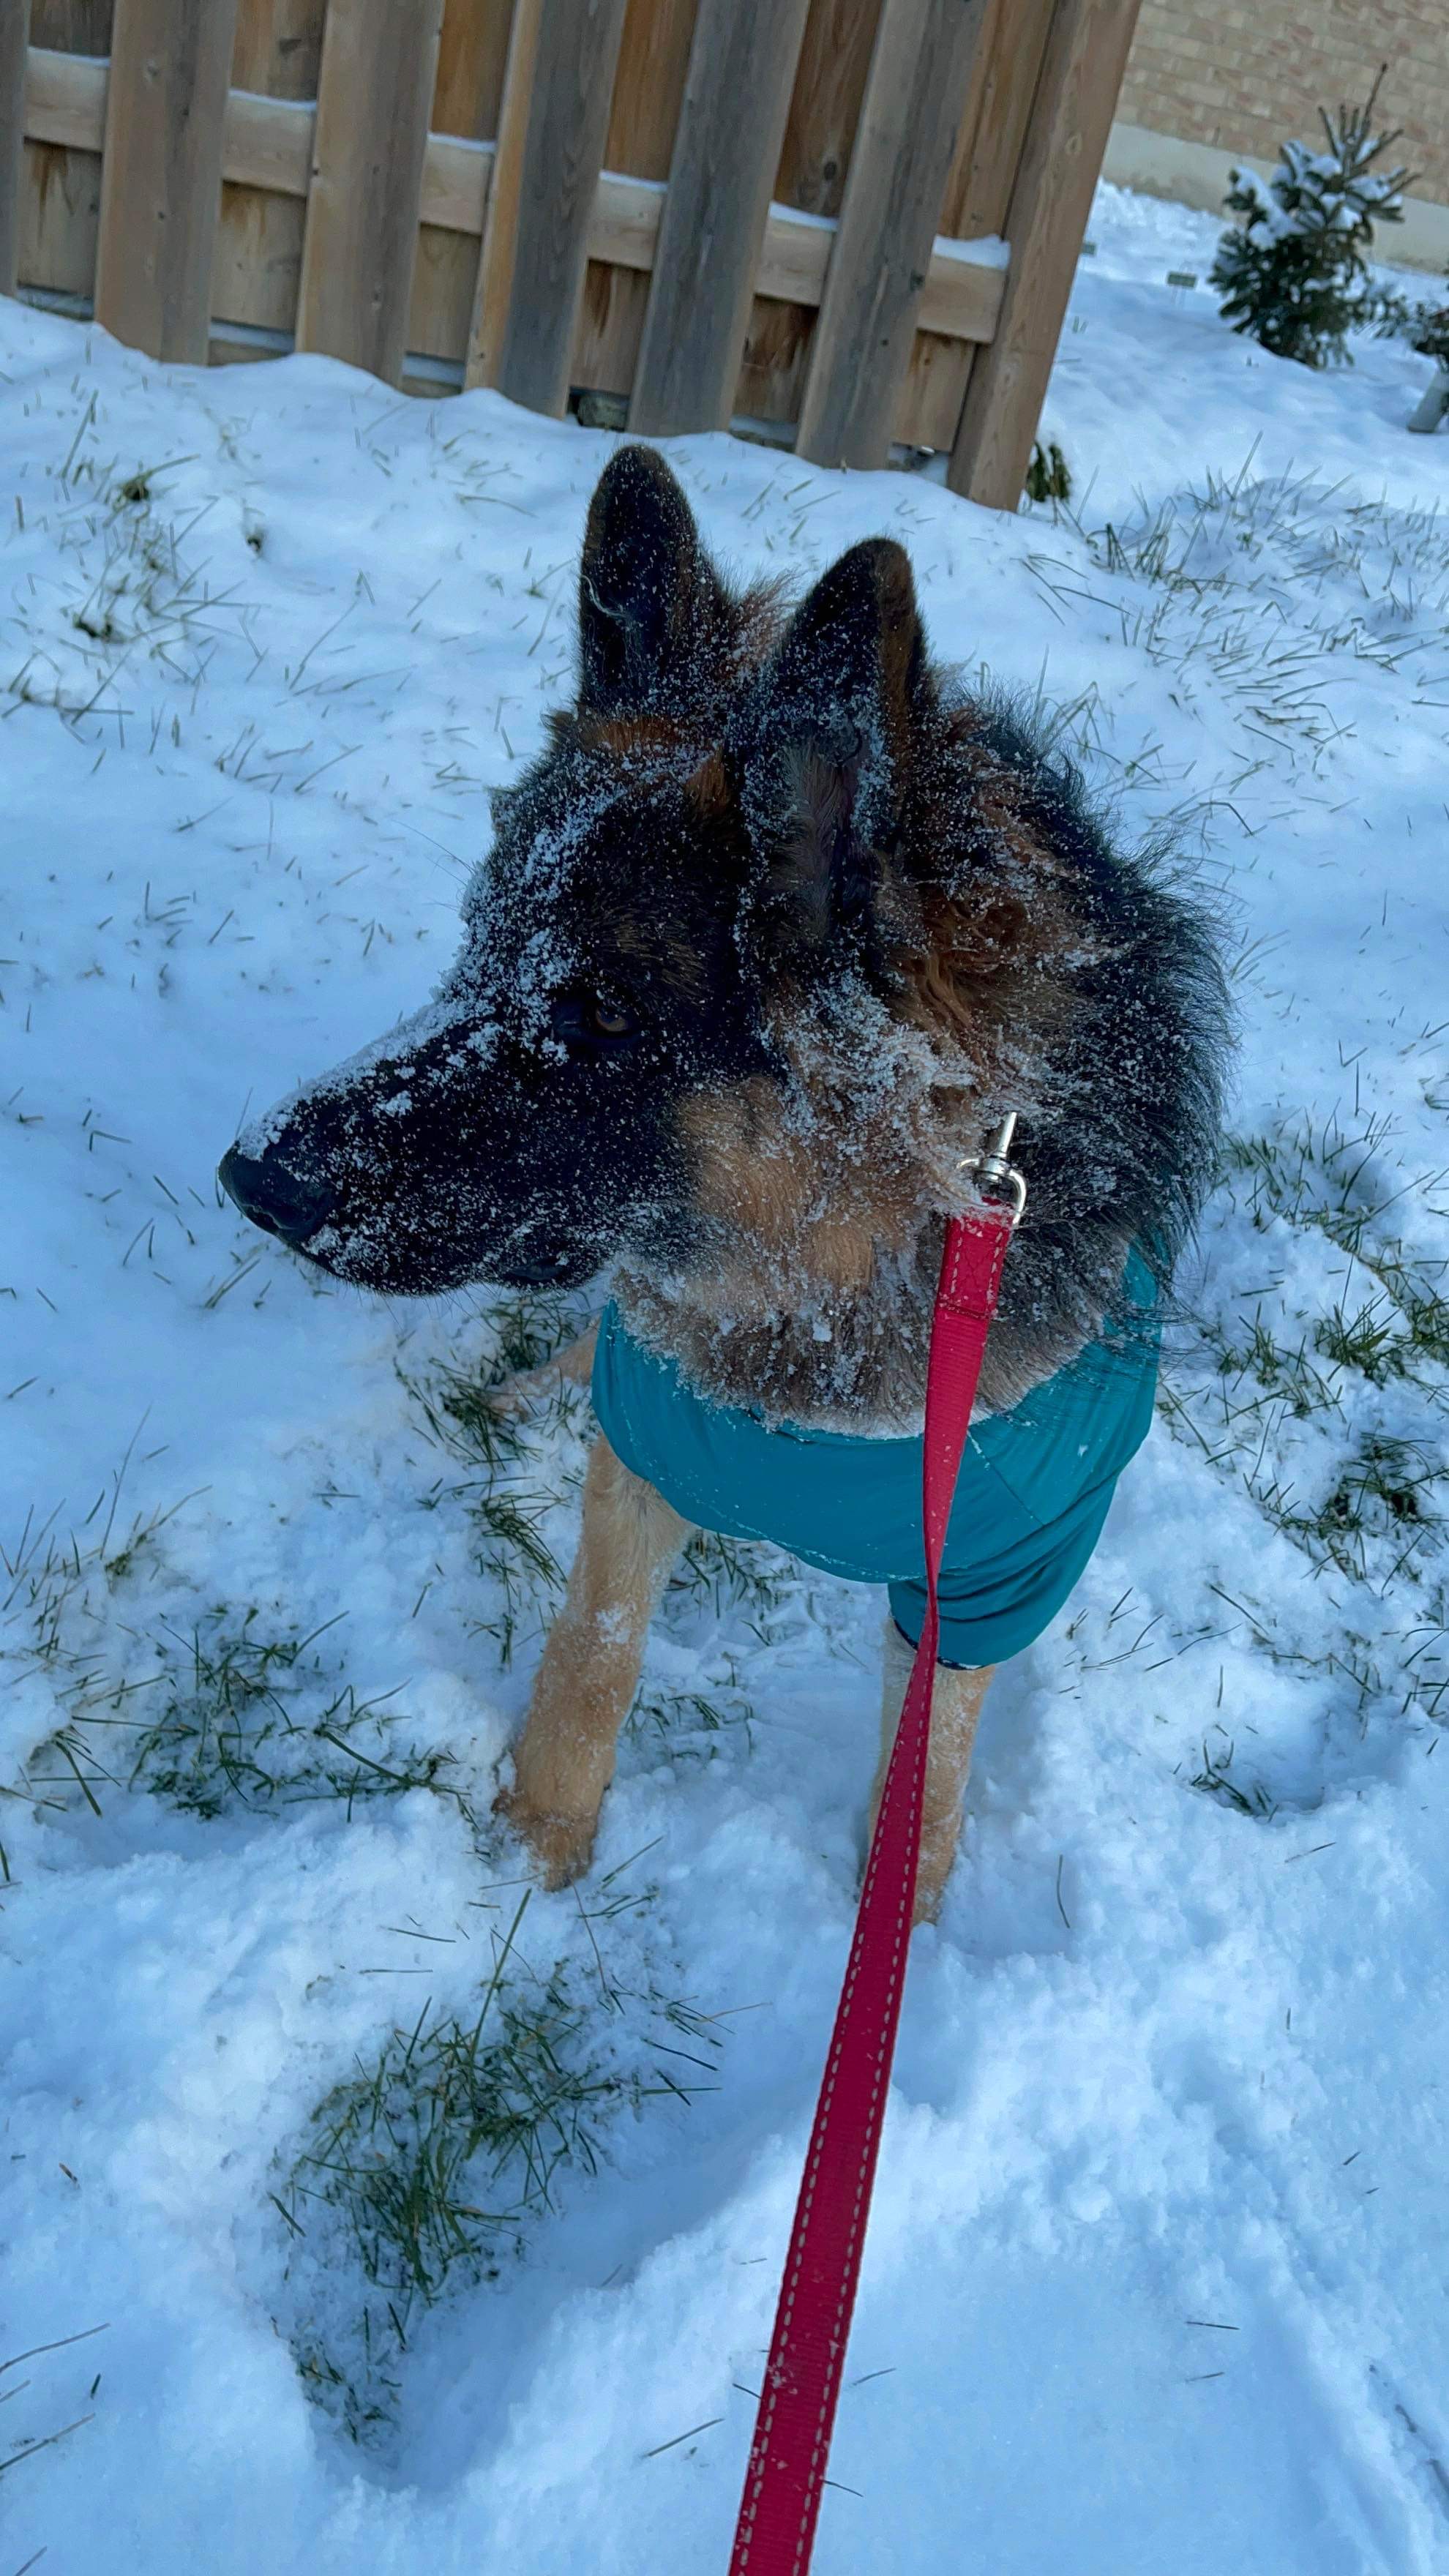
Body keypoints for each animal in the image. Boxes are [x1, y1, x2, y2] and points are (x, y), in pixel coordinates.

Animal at [221, 446, 1229, 1923]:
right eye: (477, 947)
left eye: (597, 1015)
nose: (252, 1178)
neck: (826, 1291)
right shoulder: (644, 1447)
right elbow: (594, 1651)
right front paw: (531, 1860)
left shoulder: (992, 1578)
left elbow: (924, 1783)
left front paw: (907, 1932)